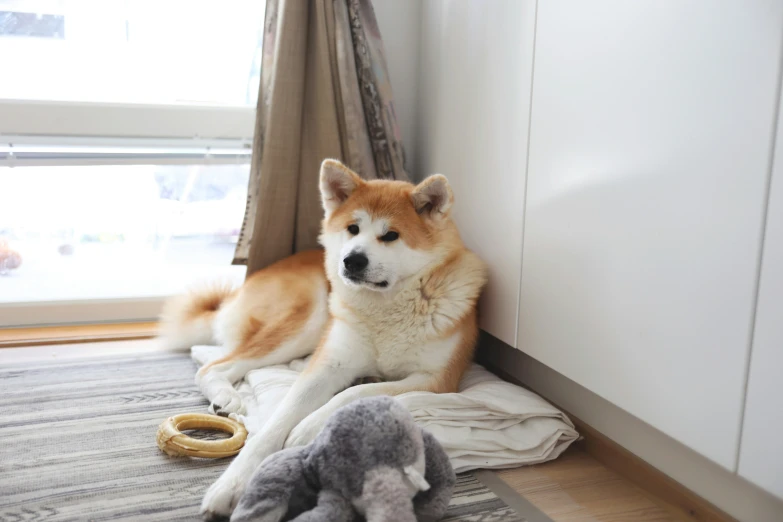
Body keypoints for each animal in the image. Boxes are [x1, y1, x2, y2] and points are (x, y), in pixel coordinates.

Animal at [160, 158, 486, 516]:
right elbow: (276, 423)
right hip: (310, 315)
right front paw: (232, 484)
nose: (352, 260)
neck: (385, 309)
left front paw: (308, 429)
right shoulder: (330, 365)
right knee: (215, 364)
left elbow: (356, 394)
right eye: (353, 229)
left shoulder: (436, 380)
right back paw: (227, 396)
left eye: (391, 235)